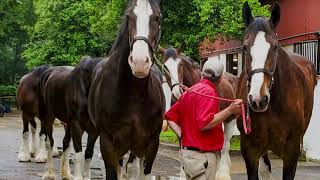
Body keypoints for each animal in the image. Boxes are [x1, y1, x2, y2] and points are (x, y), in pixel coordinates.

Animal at [87, 0, 164, 179]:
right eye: (129, 16)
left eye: (157, 17)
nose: (139, 63)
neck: (134, 94)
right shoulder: (108, 143)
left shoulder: (152, 143)